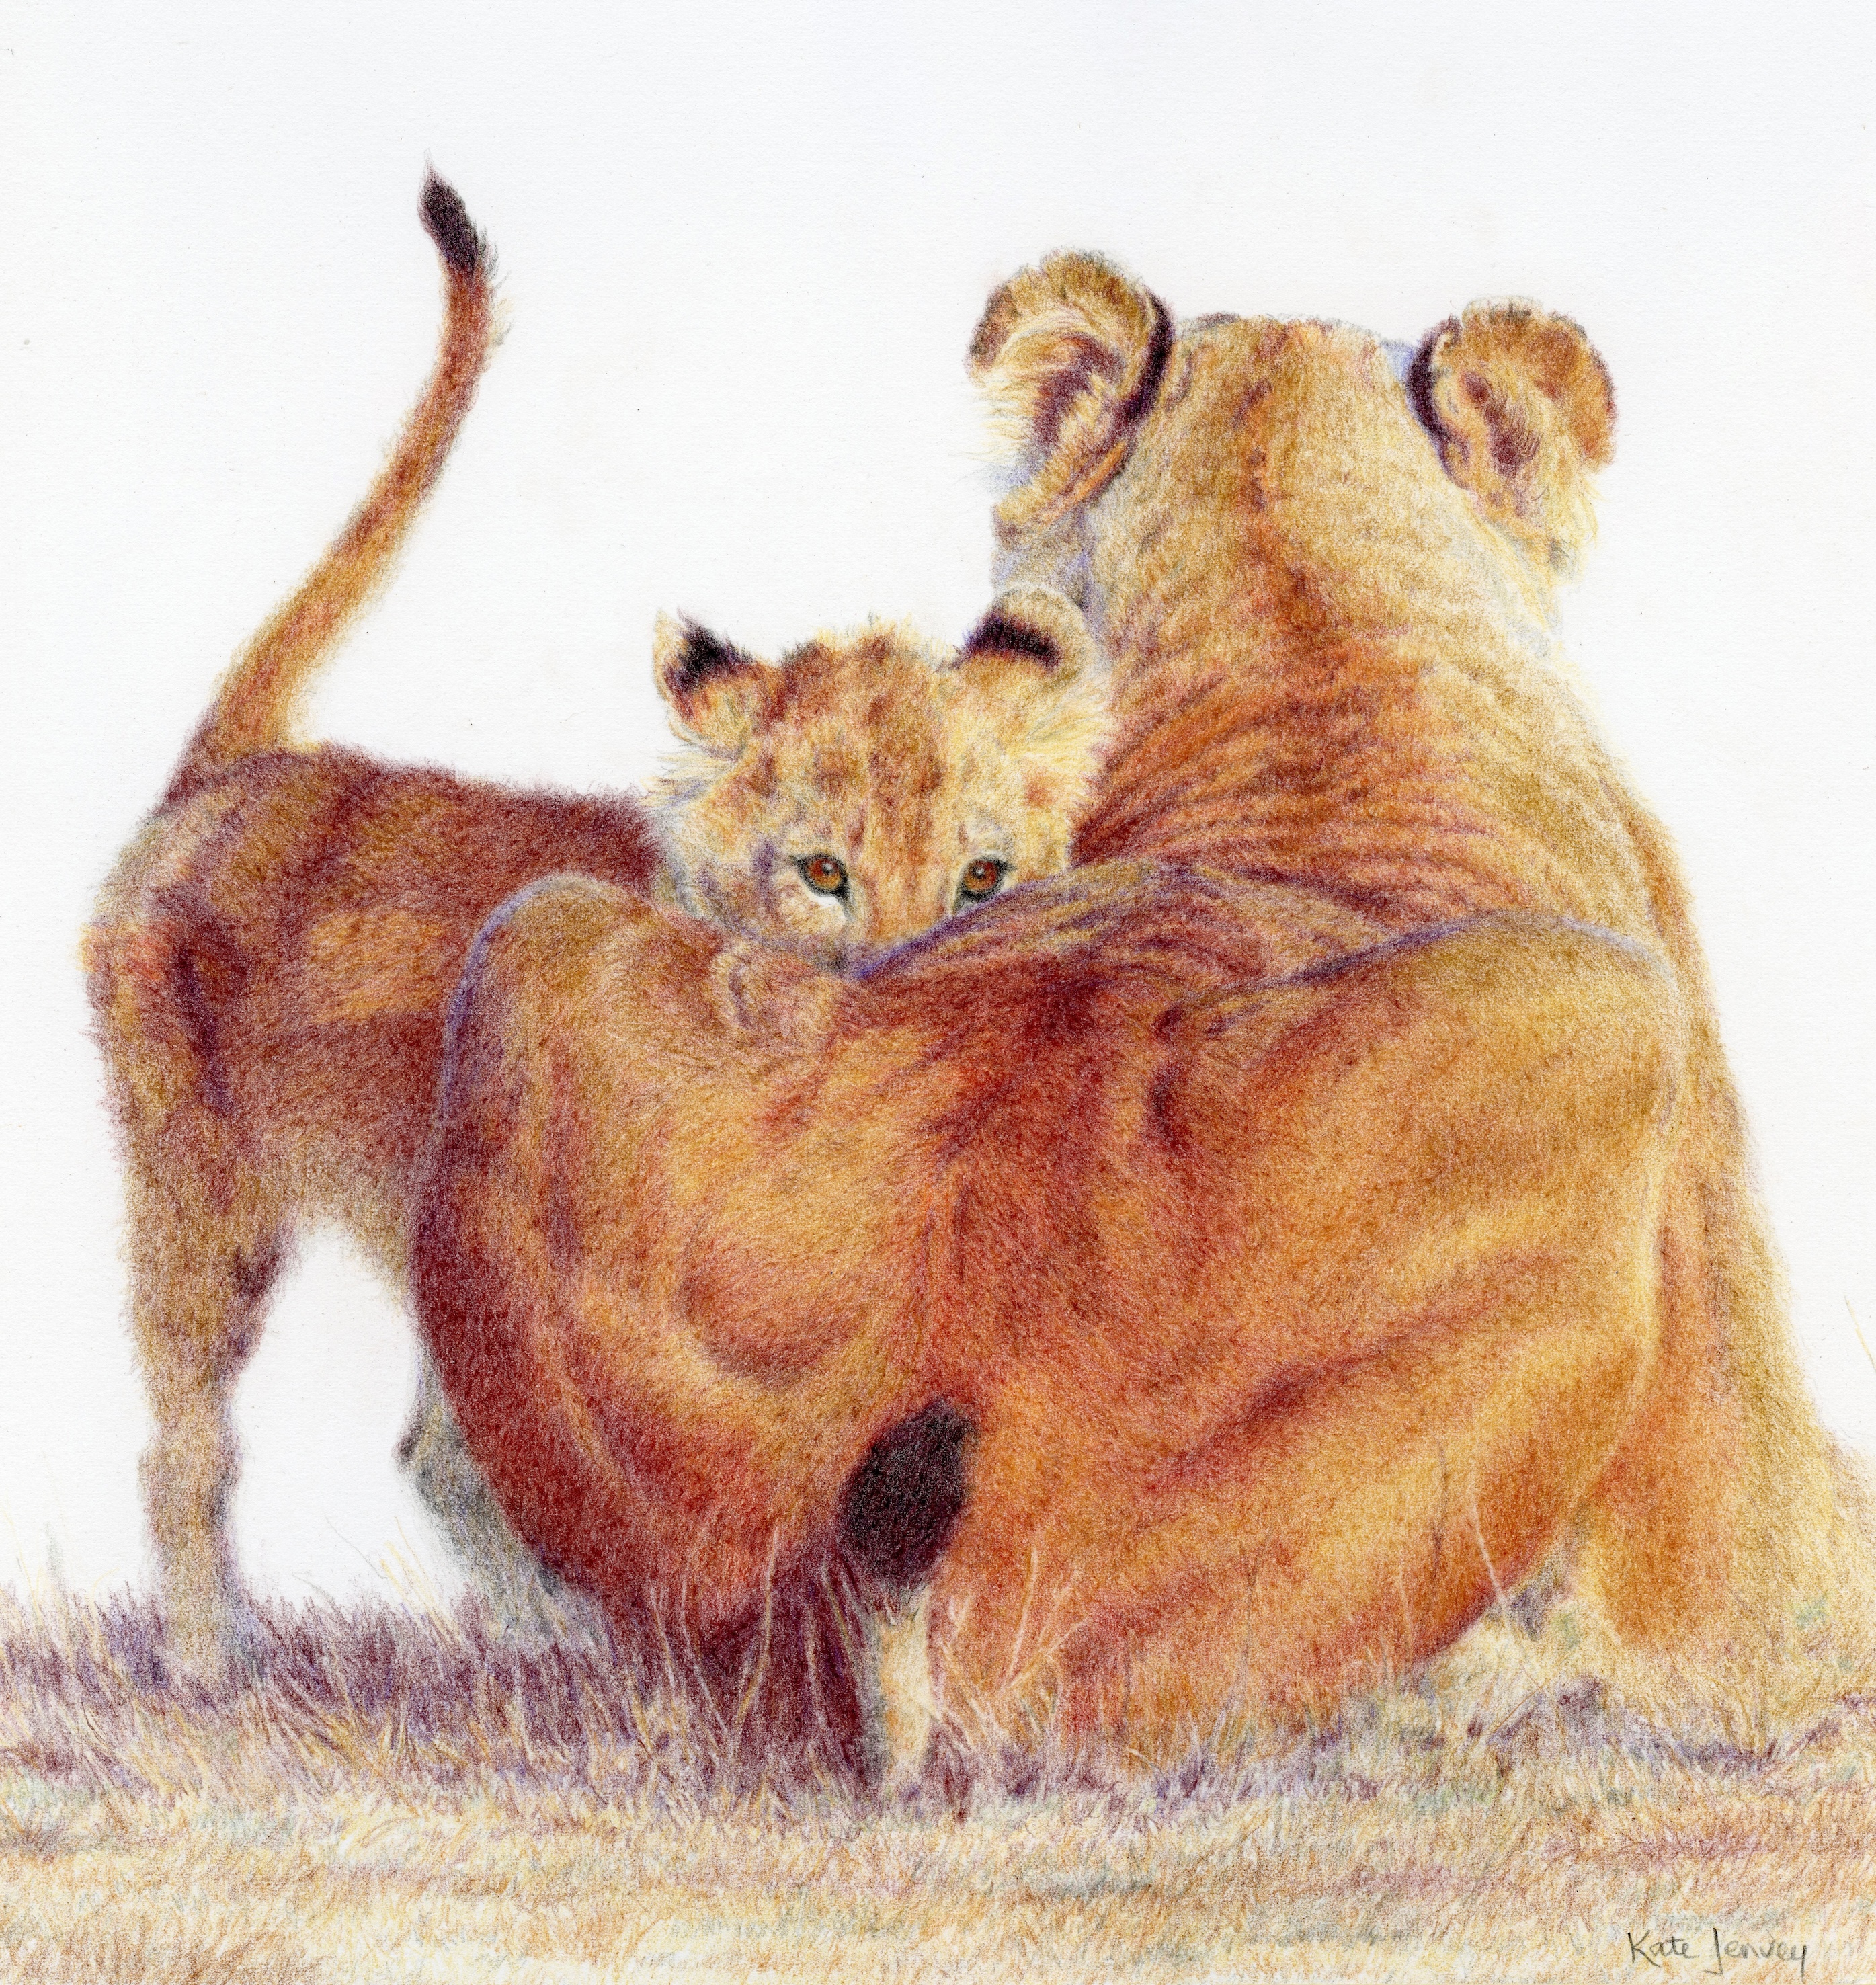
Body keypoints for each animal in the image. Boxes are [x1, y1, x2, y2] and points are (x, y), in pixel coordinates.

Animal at [86, 178, 1105, 1681]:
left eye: (984, 876)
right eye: (821, 873)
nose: (923, 997)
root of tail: (238, 770)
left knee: (435, 1450)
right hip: (202, 1193)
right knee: (190, 1449)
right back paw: (216, 1662)